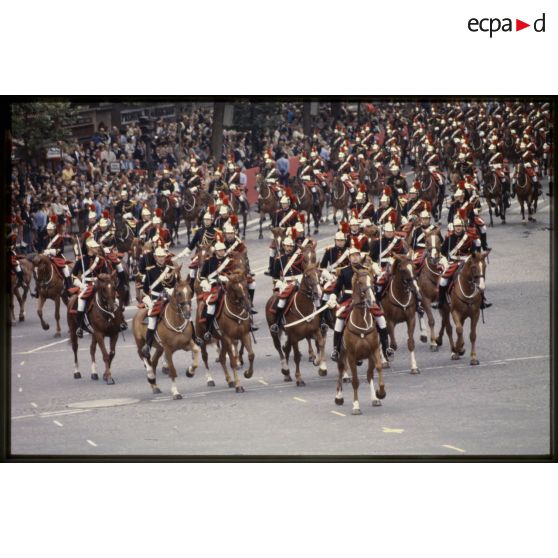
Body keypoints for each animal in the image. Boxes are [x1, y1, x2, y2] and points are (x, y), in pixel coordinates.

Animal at [334, 266, 388, 416]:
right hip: (341, 355)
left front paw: (380, 393)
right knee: (340, 371)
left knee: (369, 375)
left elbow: (378, 369)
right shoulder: (351, 356)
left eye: (372, 281)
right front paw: (356, 406)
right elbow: (355, 381)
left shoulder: (374, 351)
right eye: (360, 282)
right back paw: (338, 397)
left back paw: (375, 398)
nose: (372, 301)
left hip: (369, 357)